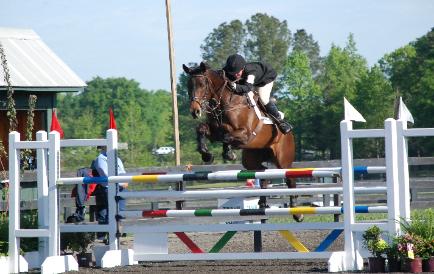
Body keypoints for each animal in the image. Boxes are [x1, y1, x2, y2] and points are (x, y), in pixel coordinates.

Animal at [182, 62, 302, 223]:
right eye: (189, 85)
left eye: (202, 84)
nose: (195, 111)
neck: (226, 102)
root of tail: (289, 134)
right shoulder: (214, 131)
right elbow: (202, 129)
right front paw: (207, 155)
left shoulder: (245, 134)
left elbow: (227, 136)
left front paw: (228, 153)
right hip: (251, 159)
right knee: (262, 175)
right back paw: (262, 204)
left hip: (283, 160)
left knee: (290, 179)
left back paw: (297, 212)